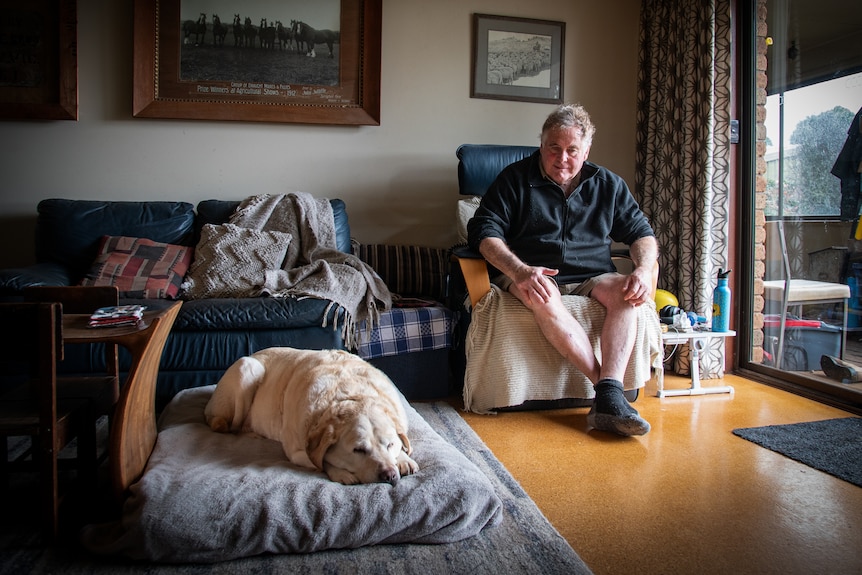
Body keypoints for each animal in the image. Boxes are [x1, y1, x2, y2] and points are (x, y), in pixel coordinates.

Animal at [203, 346, 418, 486]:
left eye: (389, 444)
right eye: (358, 450)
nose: (389, 475)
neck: (351, 394)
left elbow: (404, 445)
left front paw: (403, 459)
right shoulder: (296, 452)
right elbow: (322, 462)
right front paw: (341, 473)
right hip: (247, 368)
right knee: (234, 427)